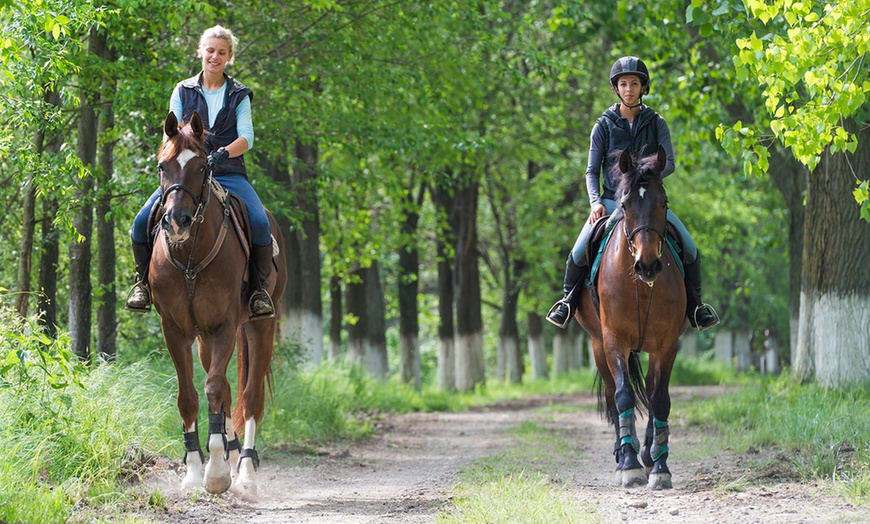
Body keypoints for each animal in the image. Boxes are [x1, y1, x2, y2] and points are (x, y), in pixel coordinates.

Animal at [149, 110, 286, 496]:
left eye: (200, 167)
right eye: (163, 166)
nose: (177, 221)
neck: (190, 257)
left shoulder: (225, 325)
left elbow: (214, 388)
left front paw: (216, 474)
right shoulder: (175, 329)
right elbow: (189, 396)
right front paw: (195, 472)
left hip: (259, 325)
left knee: (249, 396)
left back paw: (246, 472)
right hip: (204, 340)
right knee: (224, 390)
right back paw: (231, 451)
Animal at [576, 145, 692, 490]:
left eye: (663, 203)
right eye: (625, 205)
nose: (648, 265)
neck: (640, 286)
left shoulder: (667, 344)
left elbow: (660, 399)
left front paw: (660, 468)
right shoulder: (614, 340)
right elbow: (623, 396)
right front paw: (628, 467)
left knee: (652, 392)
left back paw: (649, 453)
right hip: (598, 345)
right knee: (612, 396)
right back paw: (623, 453)